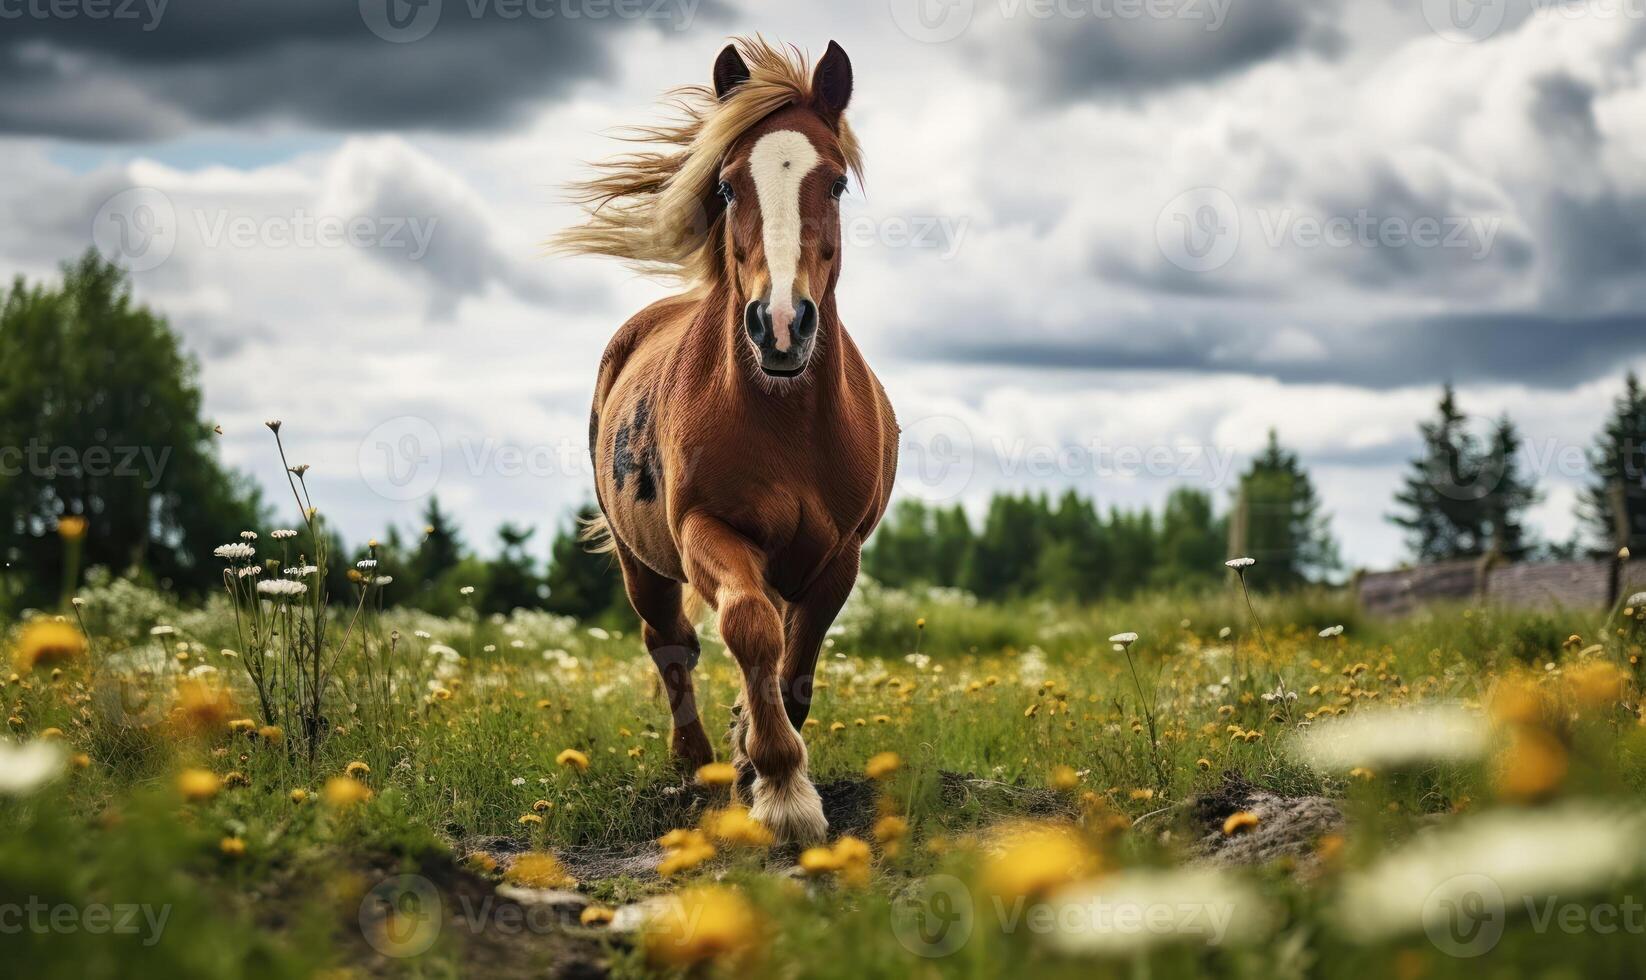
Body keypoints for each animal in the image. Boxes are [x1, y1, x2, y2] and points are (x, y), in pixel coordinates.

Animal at [559, 38, 908, 843]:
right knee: (670, 644)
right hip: (641, 562)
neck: (786, 421)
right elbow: (751, 628)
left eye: (835, 183)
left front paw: (762, 757)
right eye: (725, 185)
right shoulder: (706, 531)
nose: (780, 325)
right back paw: (698, 766)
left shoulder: (839, 556)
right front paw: (781, 787)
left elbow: (796, 662)